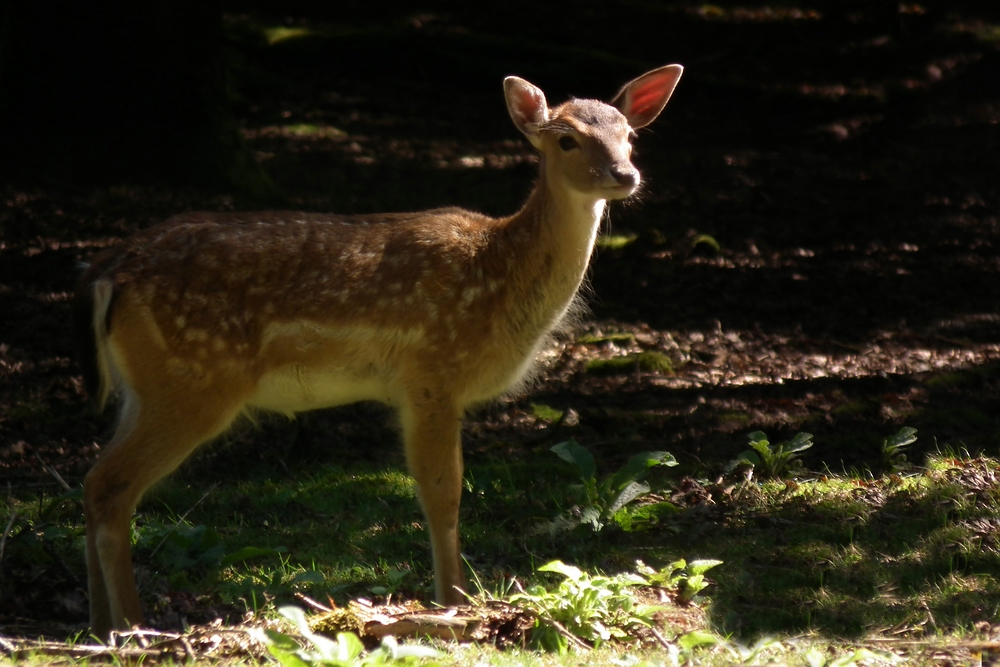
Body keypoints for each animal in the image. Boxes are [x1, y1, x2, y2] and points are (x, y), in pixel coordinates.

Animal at [74, 65, 684, 640]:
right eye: (566, 140)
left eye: (629, 134)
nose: (625, 175)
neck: (499, 277)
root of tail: (108, 271)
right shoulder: (432, 375)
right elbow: (443, 494)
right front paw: (455, 606)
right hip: (194, 378)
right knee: (112, 484)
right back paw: (133, 628)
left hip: (148, 386)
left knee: (92, 480)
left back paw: (100, 627)